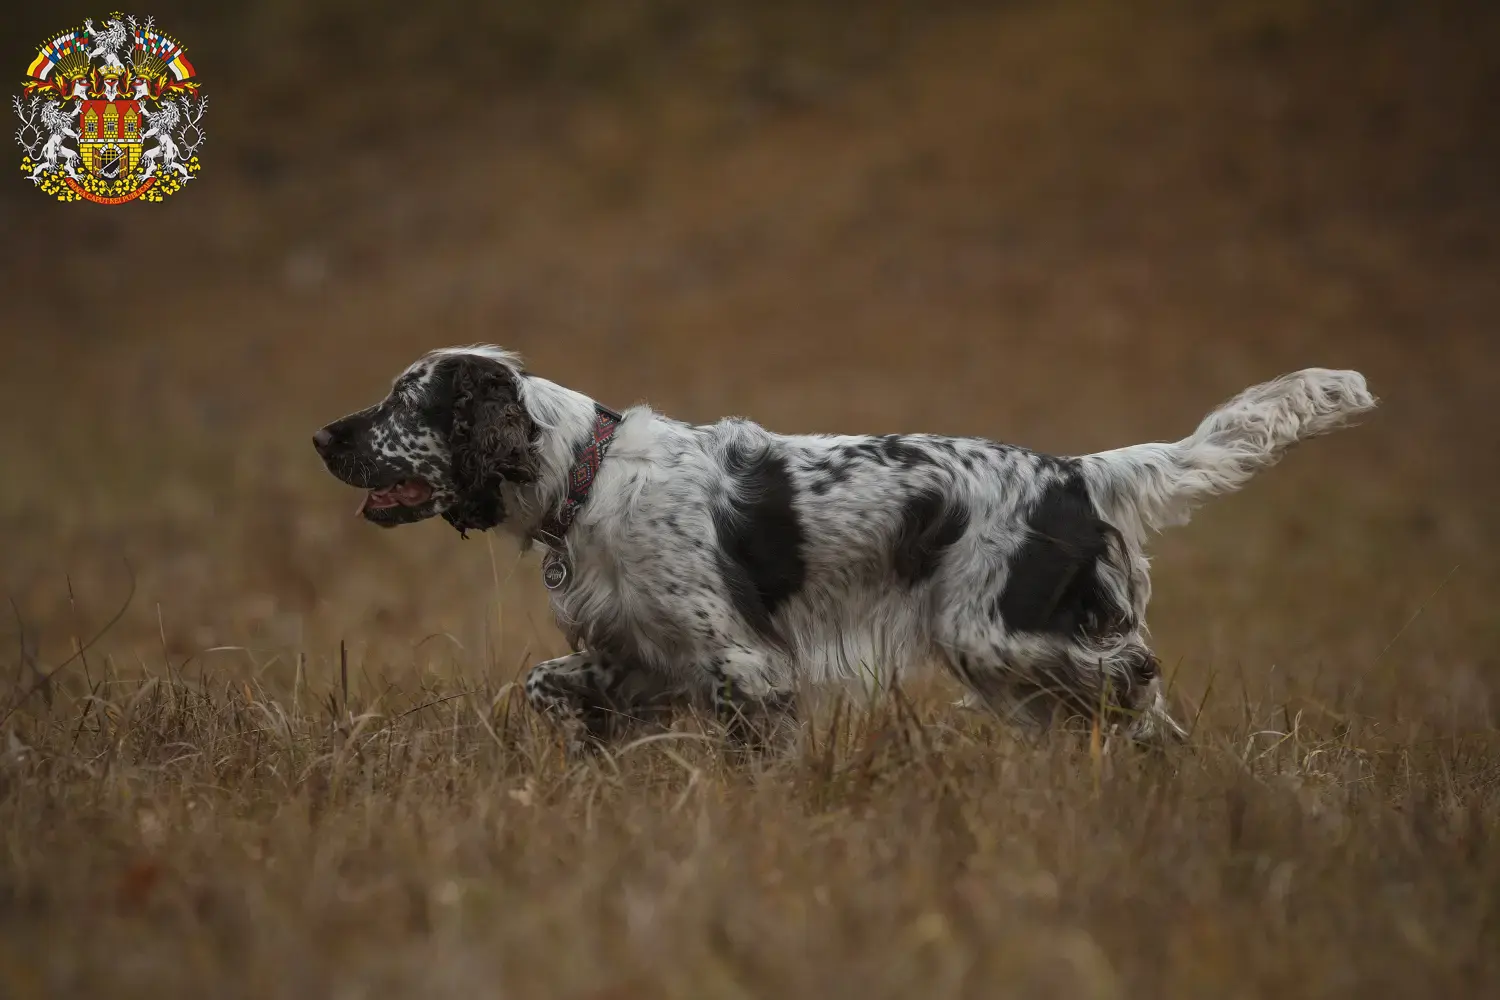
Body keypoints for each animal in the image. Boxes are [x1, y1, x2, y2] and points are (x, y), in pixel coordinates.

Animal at [313, 347, 1374, 746]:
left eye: (408, 400)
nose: (323, 436)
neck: (588, 473)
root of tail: (1078, 472)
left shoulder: (747, 665)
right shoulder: (641, 654)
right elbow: (552, 684)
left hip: (997, 635)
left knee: (1136, 673)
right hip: (1007, 668)